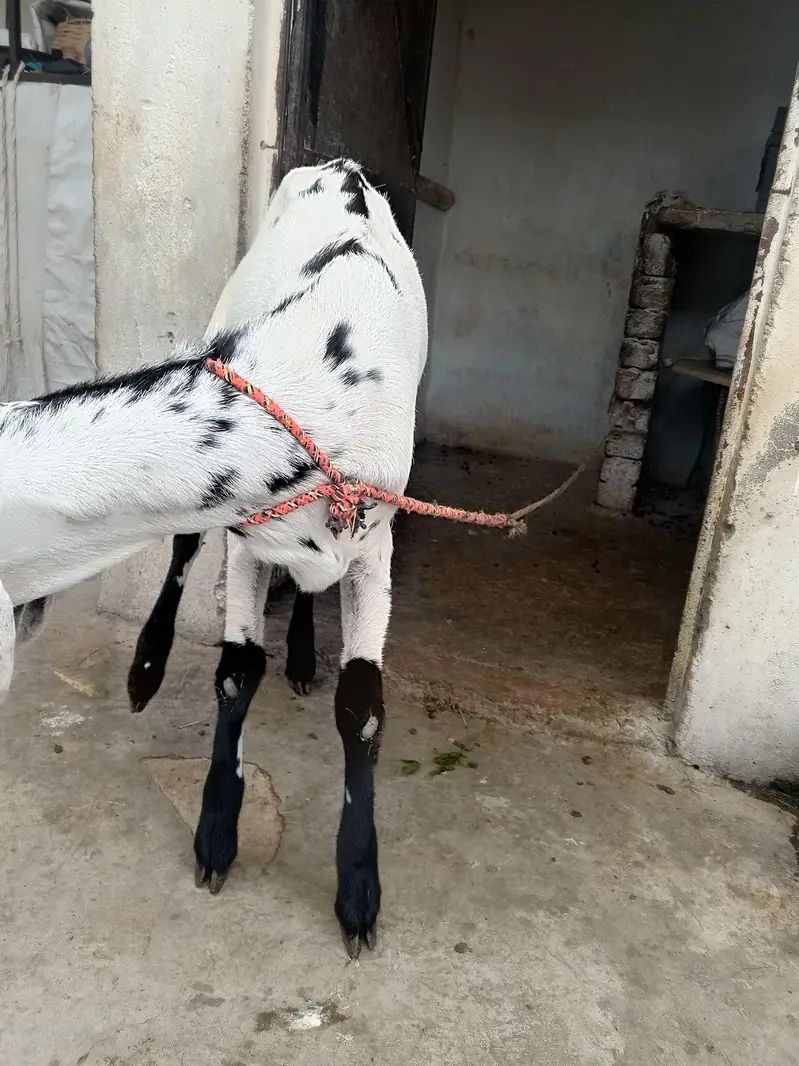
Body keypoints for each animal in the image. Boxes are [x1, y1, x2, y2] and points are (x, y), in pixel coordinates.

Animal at [0, 159, 428, 955]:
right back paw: (145, 668)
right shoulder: (248, 532)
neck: (313, 392)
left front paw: (359, 890)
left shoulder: (373, 543)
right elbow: (234, 671)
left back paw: (300, 658)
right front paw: (216, 835)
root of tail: (342, 166)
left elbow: (361, 704)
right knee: (183, 550)